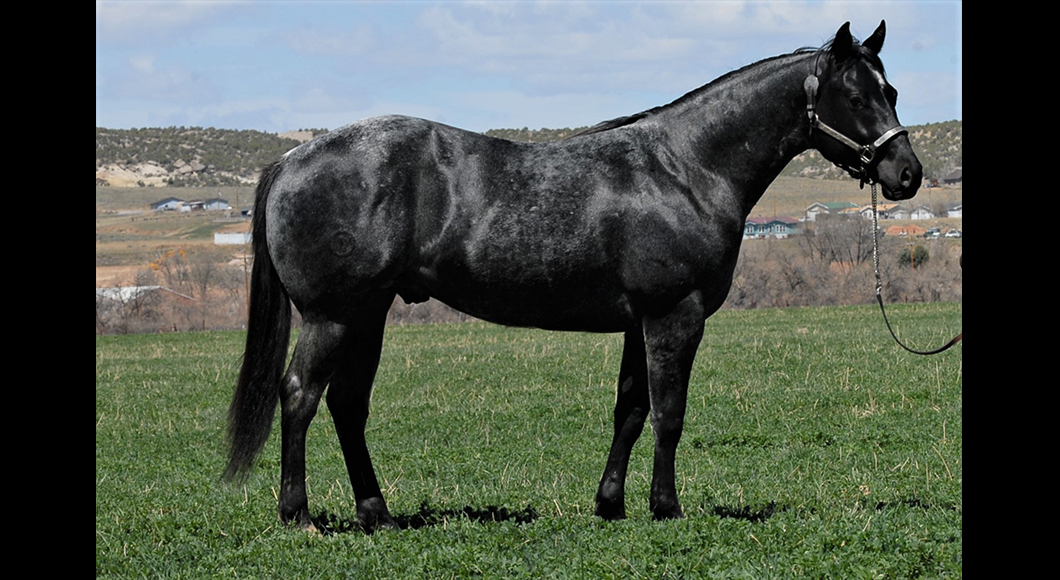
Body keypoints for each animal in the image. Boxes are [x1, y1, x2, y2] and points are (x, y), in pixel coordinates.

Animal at [224, 21, 922, 532]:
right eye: (855, 96)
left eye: (891, 92)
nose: (906, 174)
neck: (685, 169)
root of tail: (291, 158)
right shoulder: (675, 315)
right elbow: (670, 414)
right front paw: (666, 508)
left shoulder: (641, 321)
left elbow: (631, 410)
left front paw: (611, 504)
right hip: (333, 316)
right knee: (300, 395)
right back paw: (299, 516)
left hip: (368, 313)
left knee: (347, 404)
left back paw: (378, 515)